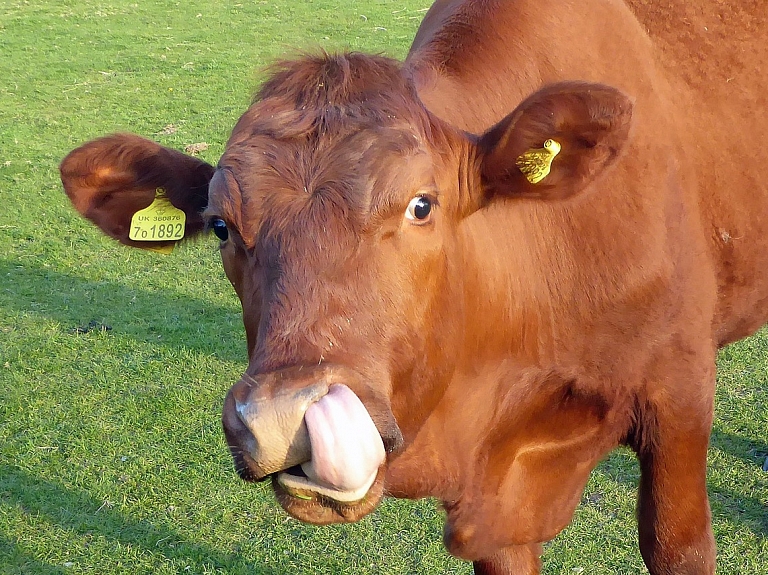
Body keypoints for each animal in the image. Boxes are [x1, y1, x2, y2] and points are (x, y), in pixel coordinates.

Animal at [60, 1, 768, 575]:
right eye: (220, 226)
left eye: (422, 205)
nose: (284, 414)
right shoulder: (498, 512)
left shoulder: (679, 395)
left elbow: (678, 545)